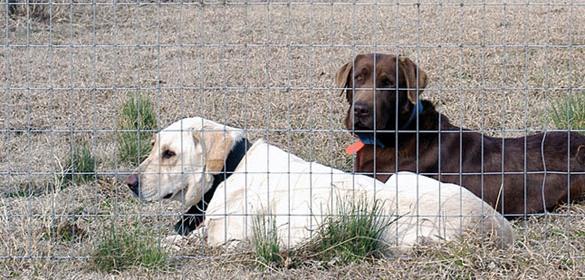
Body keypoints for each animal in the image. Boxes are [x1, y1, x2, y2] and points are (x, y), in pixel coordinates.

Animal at [126, 117, 512, 250]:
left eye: (169, 153)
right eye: (153, 146)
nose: (129, 183)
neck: (228, 172)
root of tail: (497, 225)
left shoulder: (230, 239)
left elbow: (188, 241)